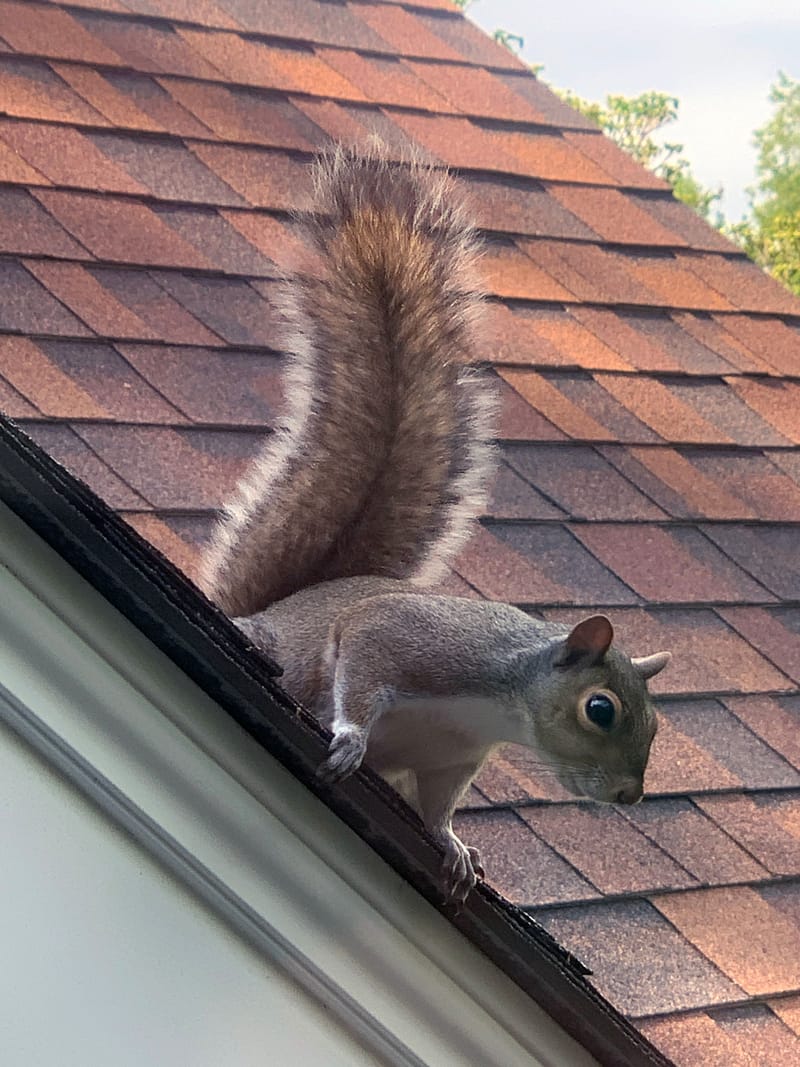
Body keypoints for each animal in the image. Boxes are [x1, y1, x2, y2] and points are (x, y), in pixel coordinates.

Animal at [202, 144, 671, 905]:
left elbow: (441, 805)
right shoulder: (408, 638)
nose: (630, 795)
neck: (496, 706)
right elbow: (364, 661)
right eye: (600, 709)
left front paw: (454, 847)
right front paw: (350, 739)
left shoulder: (453, 760)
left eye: (656, 720)